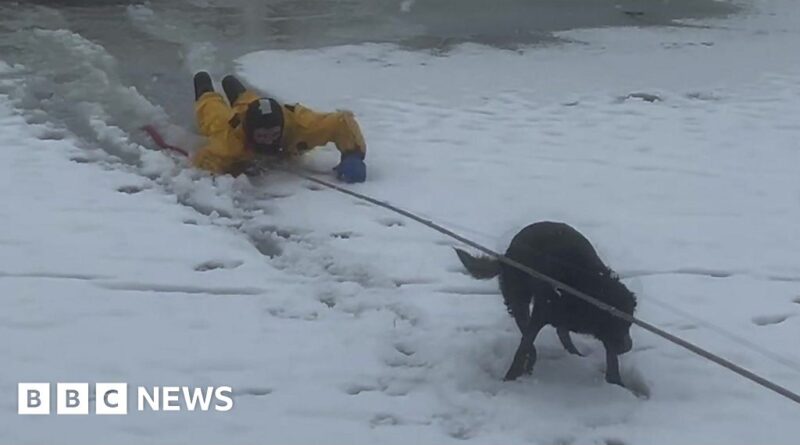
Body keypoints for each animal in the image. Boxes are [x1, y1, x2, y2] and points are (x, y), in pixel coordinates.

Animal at [456, 222, 636, 386]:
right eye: (614, 322)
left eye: (628, 323)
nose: (628, 347)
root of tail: (507, 253)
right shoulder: (542, 312)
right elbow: (525, 343)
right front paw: (511, 377)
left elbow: (611, 354)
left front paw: (616, 382)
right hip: (518, 297)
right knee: (527, 326)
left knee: (560, 331)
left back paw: (573, 353)